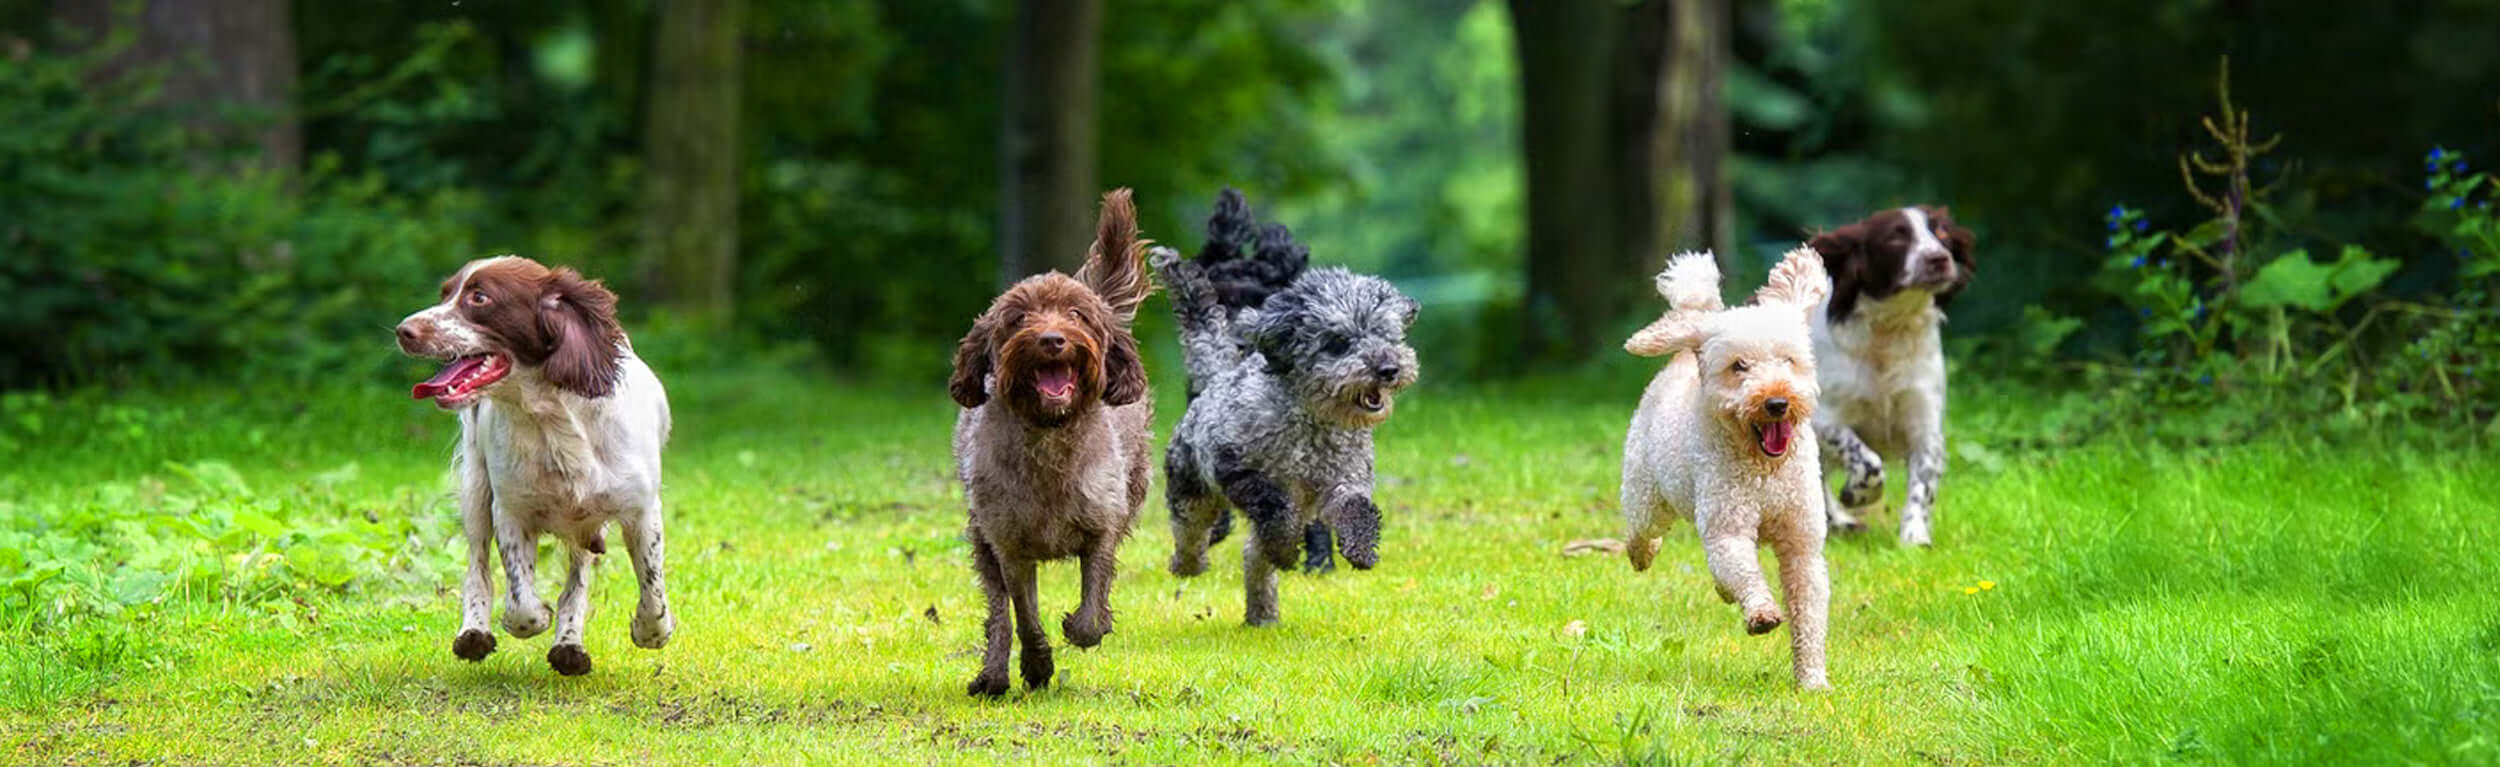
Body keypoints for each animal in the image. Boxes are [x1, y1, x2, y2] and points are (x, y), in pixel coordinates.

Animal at [950, 187, 1155, 699]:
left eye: (1077, 315)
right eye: (1018, 317)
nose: (1052, 339)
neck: (1048, 437)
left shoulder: (1103, 525)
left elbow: (1092, 605)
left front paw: (1083, 627)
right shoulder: (1008, 545)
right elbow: (1023, 615)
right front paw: (1037, 666)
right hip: (981, 539)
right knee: (999, 615)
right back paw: (994, 675)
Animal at [1155, 189, 1420, 627]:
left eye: (1386, 334)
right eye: (1338, 342)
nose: (1388, 369)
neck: (1313, 423)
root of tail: (1215, 376)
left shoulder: (1343, 481)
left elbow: (1356, 508)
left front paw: (1361, 549)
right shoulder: (1236, 466)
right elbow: (1274, 510)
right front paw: (1284, 547)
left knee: (1252, 557)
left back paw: (1262, 614)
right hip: (1191, 485)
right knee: (1192, 532)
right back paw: (1188, 564)